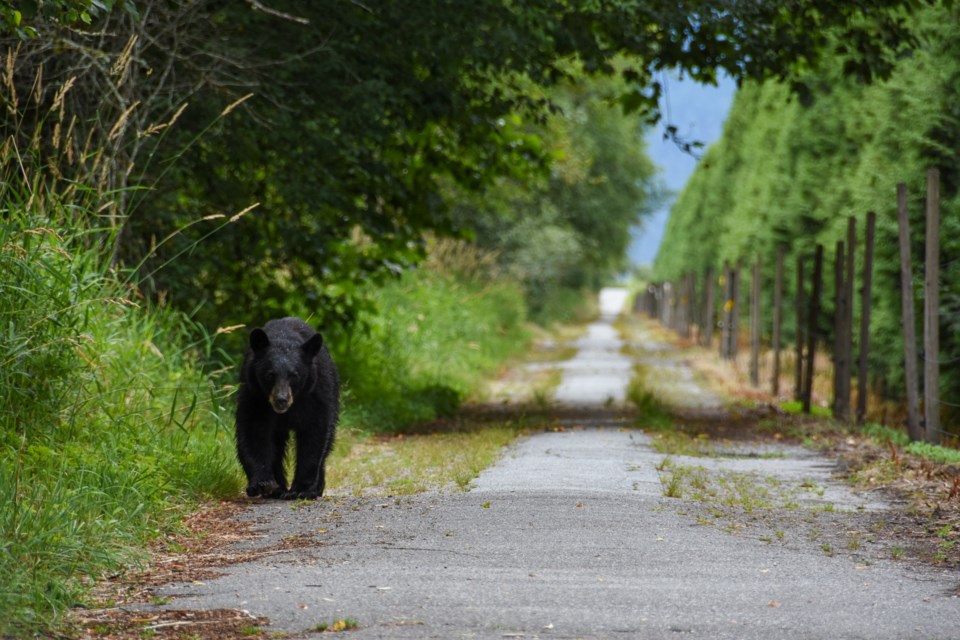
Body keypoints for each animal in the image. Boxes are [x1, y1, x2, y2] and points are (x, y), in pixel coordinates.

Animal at [234, 318, 340, 500]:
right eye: (270, 375)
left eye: (294, 375)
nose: (281, 400)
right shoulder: (255, 395)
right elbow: (253, 431)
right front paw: (263, 484)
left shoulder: (315, 393)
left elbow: (315, 432)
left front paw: (302, 489)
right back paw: (278, 489)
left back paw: (316, 488)